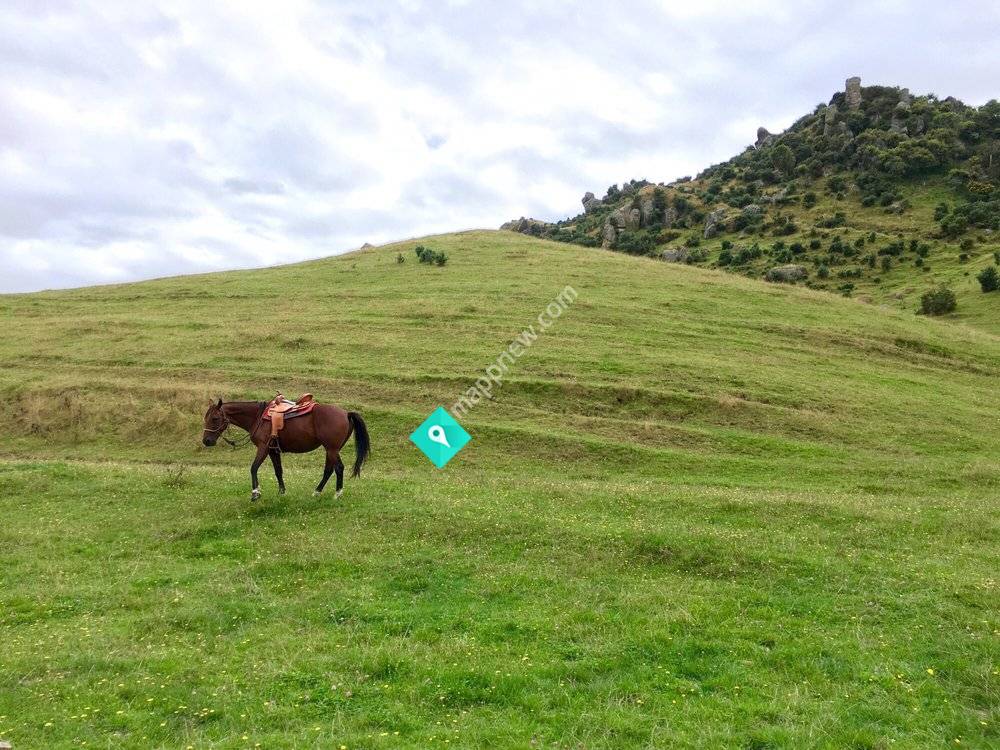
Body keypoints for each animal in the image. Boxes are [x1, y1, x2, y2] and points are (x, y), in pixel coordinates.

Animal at [201, 398, 370, 502]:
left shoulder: (263, 447)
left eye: (215, 418)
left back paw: (337, 493)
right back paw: (317, 492)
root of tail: (346, 413)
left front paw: (255, 493)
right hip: (331, 450)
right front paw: (282, 492)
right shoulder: (273, 450)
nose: (206, 441)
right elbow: (278, 471)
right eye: (206, 418)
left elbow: (253, 468)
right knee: (329, 470)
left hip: (332, 449)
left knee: (339, 468)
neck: (258, 417)